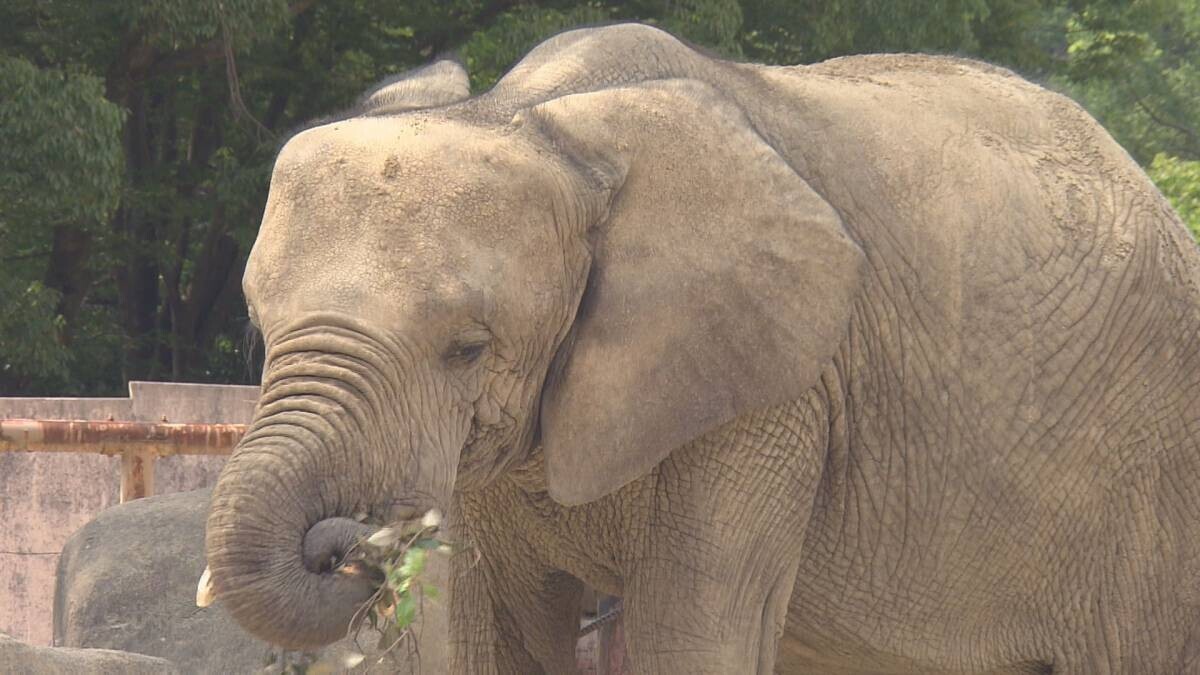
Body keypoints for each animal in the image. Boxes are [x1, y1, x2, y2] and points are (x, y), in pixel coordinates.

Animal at [201, 22, 1200, 672]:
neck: (532, 115)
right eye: (258, 325)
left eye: (468, 348)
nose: (347, 541)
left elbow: (690, 633)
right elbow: (502, 634)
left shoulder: (777, 391)